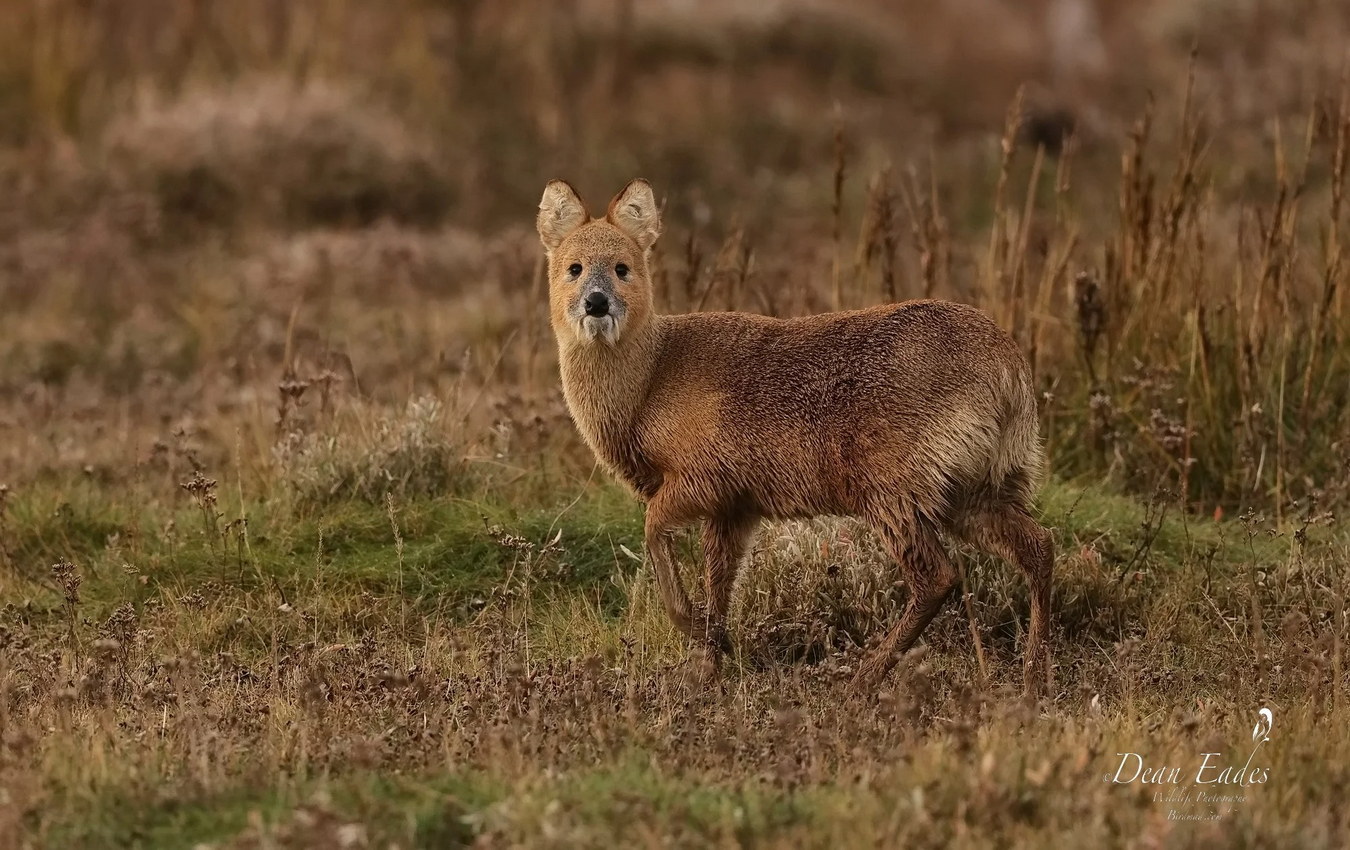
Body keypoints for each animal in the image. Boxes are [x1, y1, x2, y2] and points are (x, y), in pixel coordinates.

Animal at [537, 179, 1053, 701]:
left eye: (622, 268)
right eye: (573, 267)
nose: (596, 301)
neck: (647, 389)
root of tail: (1009, 371)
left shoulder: (705, 475)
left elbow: (652, 530)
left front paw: (698, 633)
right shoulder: (735, 507)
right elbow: (718, 579)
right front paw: (707, 664)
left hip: (895, 483)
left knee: (938, 576)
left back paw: (864, 679)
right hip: (980, 483)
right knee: (1039, 545)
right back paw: (1034, 674)